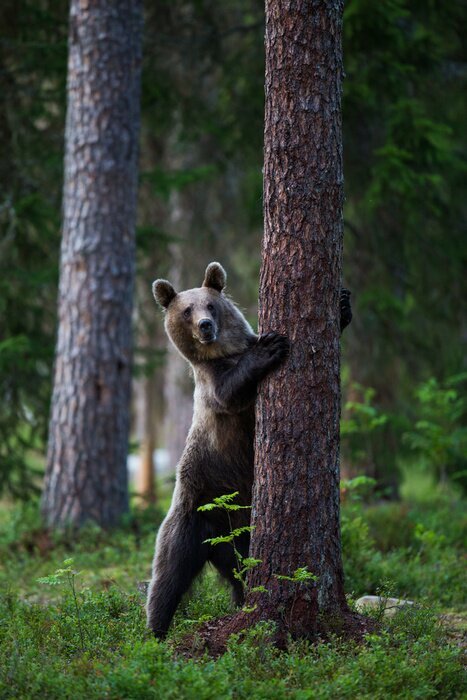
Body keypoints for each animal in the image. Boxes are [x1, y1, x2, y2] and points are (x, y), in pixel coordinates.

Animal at [146, 260, 352, 636]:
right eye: (186, 310)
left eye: (210, 304)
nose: (205, 325)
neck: (222, 353)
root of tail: (217, 540)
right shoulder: (213, 388)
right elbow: (230, 390)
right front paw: (270, 347)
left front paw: (342, 305)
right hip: (193, 513)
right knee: (167, 576)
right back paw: (155, 631)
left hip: (240, 534)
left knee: (241, 572)